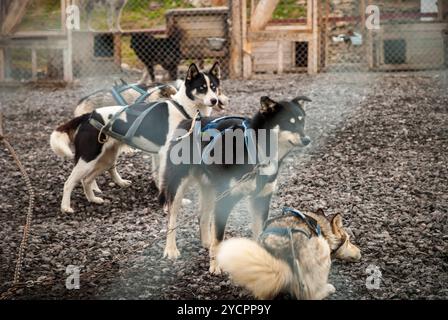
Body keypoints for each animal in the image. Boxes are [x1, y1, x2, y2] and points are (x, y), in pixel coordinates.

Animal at [50, 62, 226, 212]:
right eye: (202, 87)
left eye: (214, 87)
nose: (214, 100)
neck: (182, 107)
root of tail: (88, 116)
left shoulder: (158, 155)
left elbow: (158, 178)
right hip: (87, 160)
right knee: (69, 182)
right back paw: (66, 207)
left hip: (106, 160)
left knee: (86, 180)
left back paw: (93, 199)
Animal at [159, 96, 314, 274]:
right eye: (289, 122)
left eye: (302, 121)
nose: (307, 139)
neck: (256, 150)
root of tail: (188, 121)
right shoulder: (226, 200)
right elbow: (219, 237)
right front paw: (215, 265)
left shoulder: (261, 199)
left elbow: (259, 232)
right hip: (179, 186)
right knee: (172, 219)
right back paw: (171, 249)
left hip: (211, 189)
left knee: (202, 216)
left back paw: (206, 242)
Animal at [216, 208, 360, 300]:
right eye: (348, 240)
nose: (359, 251)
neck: (322, 226)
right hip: (321, 248)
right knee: (309, 295)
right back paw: (327, 289)